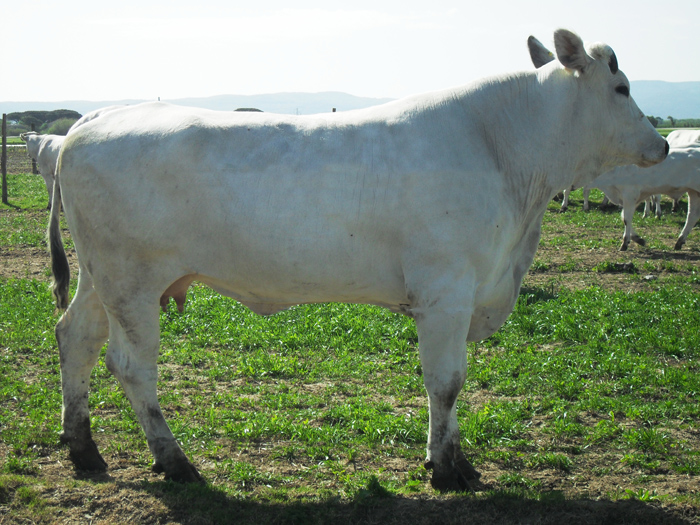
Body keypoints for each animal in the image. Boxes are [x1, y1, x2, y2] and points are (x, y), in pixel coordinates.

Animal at [49, 29, 668, 492]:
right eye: (621, 86)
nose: (661, 145)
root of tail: (94, 118)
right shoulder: (446, 292)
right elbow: (446, 381)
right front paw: (446, 469)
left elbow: (452, 385)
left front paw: (454, 460)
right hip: (131, 282)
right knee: (131, 366)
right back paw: (174, 461)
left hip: (101, 279)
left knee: (75, 335)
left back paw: (84, 449)